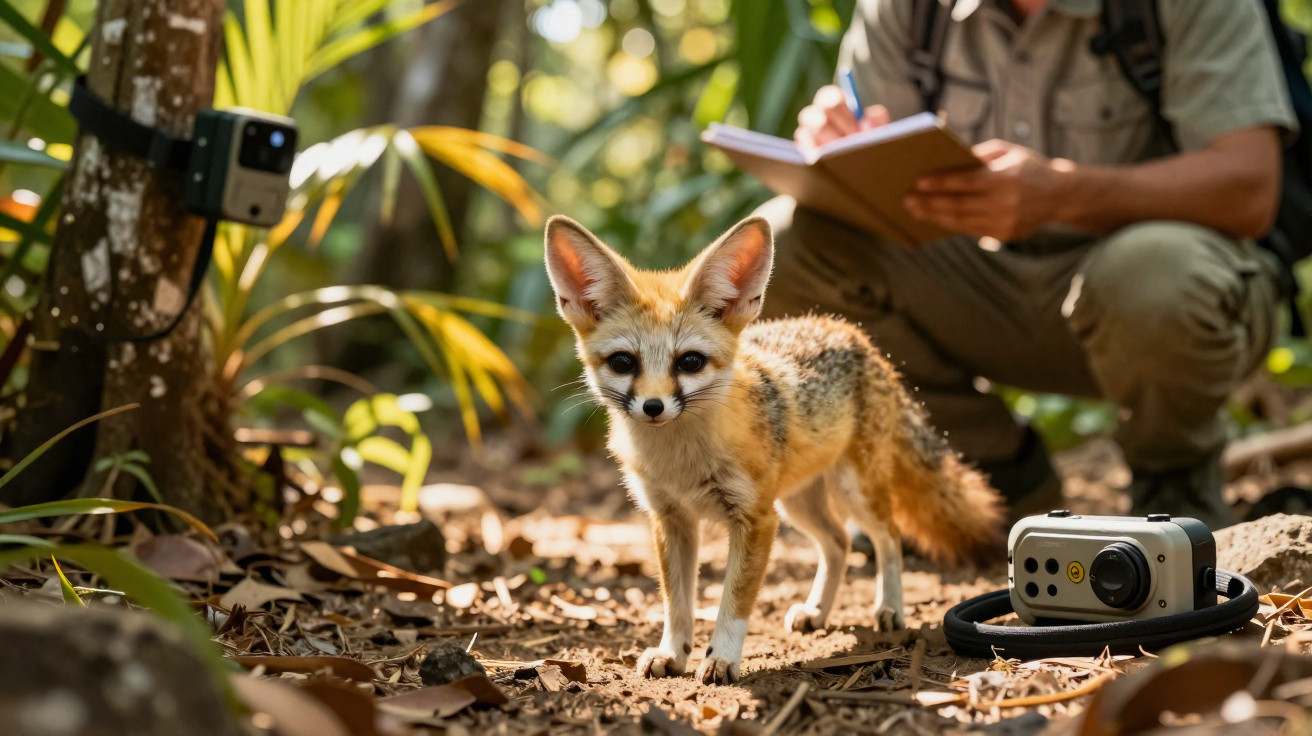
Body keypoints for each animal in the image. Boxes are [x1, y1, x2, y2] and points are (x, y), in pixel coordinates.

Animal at [543, 214, 1004, 685]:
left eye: (689, 362)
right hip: (798, 505)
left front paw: (722, 658)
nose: (653, 407)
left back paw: (889, 608)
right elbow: (677, 604)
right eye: (623, 362)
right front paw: (672, 652)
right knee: (838, 543)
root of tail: (854, 335)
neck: (681, 461)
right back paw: (817, 611)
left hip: (850, 496)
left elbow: (734, 603)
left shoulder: (755, 520)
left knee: (888, 536)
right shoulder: (671, 519)